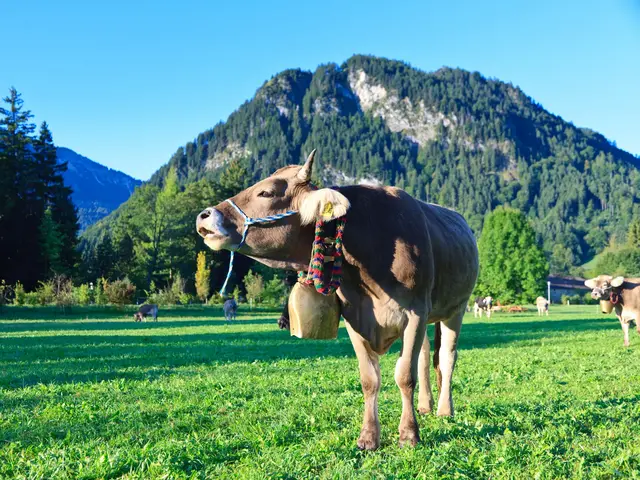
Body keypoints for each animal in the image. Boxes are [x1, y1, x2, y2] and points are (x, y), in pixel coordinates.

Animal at [195, 151, 480, 450]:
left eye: (266, 192)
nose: (204, 215)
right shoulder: (355, 316)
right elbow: (369, 378)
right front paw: (368, 437)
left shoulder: (415, 312)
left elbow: (405, 375)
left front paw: (409, 434)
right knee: (425, 356)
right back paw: (425, 406)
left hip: (456, 308)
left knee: (446, 357)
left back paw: (444, 410)